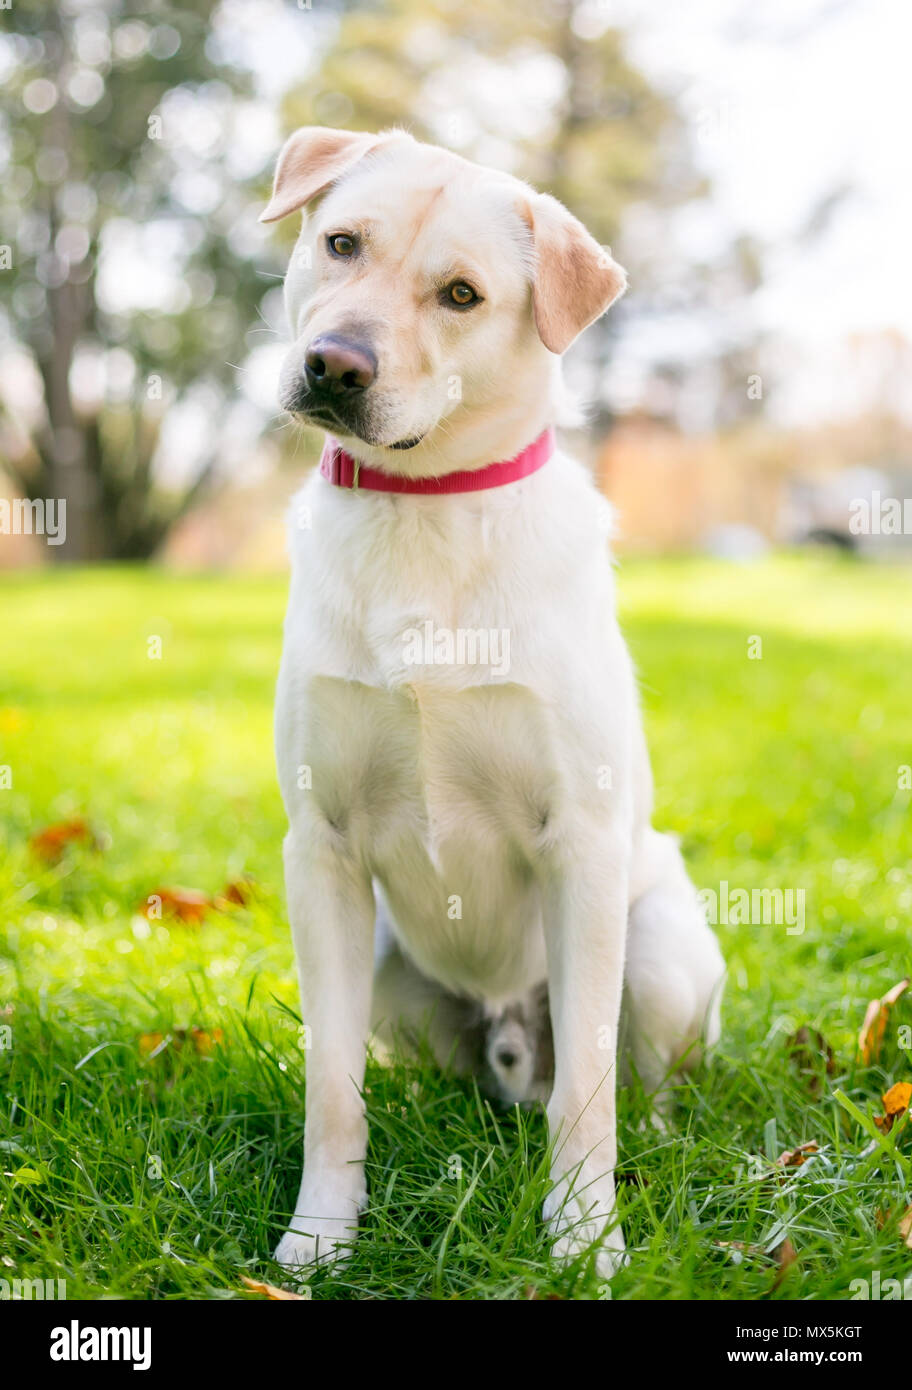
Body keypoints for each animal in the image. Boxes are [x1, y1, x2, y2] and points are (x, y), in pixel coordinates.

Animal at [261, 125, 728, 1273]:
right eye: (342, 243)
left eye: (462, 295)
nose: (334, 364)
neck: (422, 505)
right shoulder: (320, 852)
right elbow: (331, 1092)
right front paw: (318, 1241)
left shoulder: (582, 846)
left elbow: (589, 1098)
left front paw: (586, 1241)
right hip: (392, 971)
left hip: (659, 945)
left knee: (627, 1088)